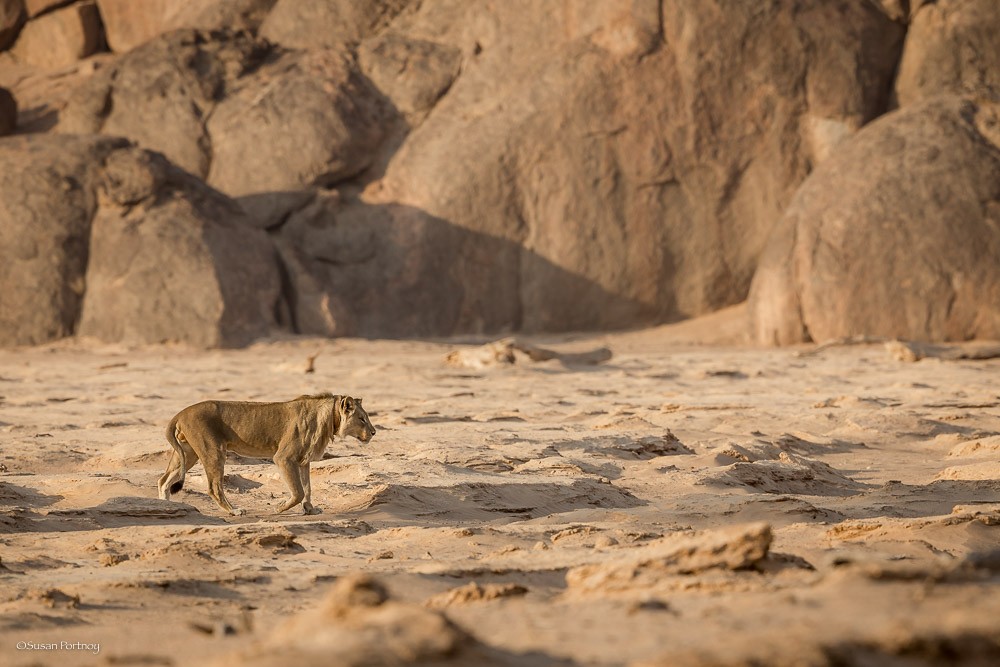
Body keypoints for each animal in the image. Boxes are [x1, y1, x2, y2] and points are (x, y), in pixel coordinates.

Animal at [156, 394, 376, 520]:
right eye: (362, 419)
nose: (374, 432)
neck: (329, 418)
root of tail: (180, 413)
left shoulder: (303, 461)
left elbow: (308, 488)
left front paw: (310, 510)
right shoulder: (284, 458)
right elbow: (298, 491)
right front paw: (279, 508)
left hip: (188, 452)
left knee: (164, 480)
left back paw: (167, 507)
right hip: (213, 451)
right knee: (214, 487)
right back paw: (234, 511)